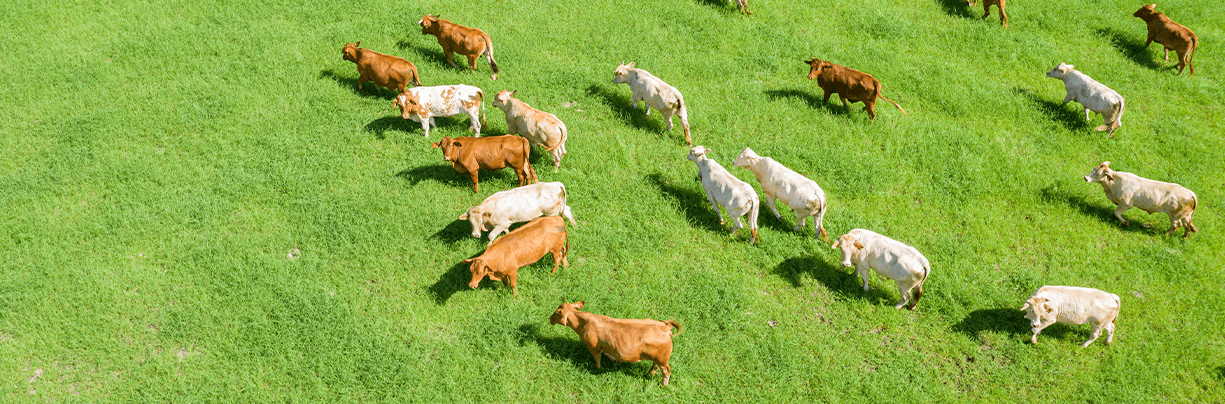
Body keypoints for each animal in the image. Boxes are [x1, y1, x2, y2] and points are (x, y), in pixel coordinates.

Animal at [549, 301, 683, 386]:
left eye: (557, 313)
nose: (549, 318)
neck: (584, 322)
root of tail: (666, 327)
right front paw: (615, 361)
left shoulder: (593, 347)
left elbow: (597, 359)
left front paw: (597, 368)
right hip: (656, 358)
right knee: (655, 366)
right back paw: (650, 374)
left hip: (662, 360)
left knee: (666, 371)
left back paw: (664, 384)